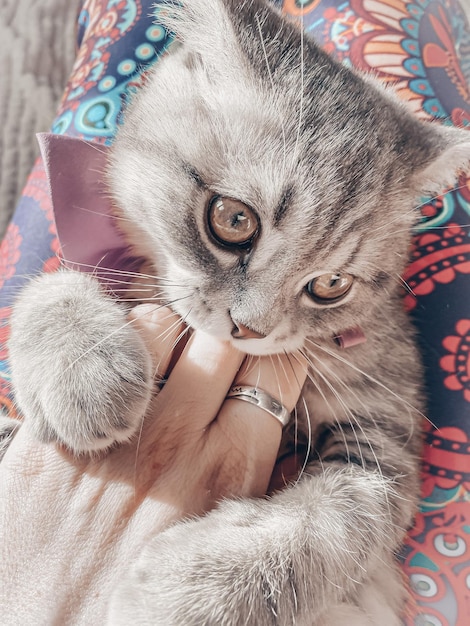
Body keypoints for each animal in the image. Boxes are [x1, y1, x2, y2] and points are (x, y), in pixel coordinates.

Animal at [5, 1, 470, 624]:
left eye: (331, 284)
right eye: (232, 220)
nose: (250, 327)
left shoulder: (386, 435)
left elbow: (337, 524)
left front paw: (186, 592)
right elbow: (56, 278)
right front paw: (81, 367)